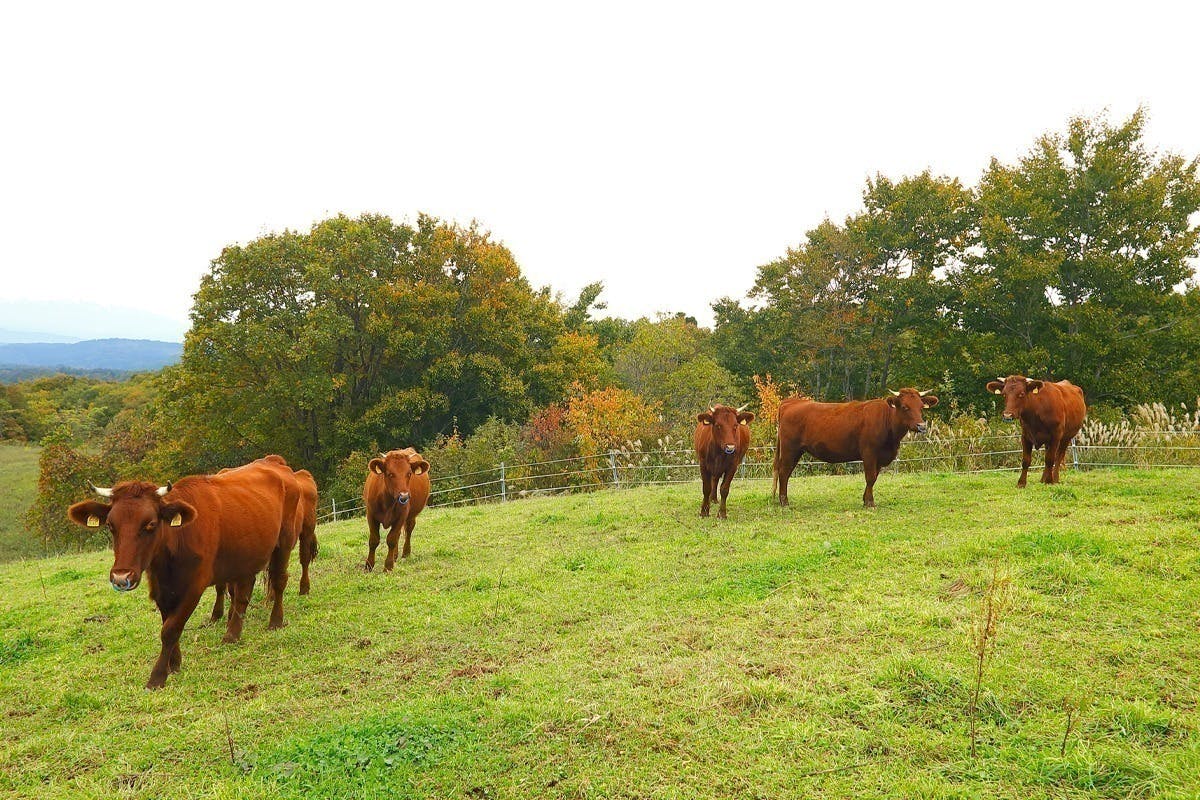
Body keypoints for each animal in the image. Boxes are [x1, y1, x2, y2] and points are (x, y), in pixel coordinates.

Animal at [66, 455, 300, 690]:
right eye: (111, 525)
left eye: (150, 524)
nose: (121, 578)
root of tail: (272, 461)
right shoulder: (161, 588)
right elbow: (167, 623)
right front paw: (174, 663)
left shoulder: (194, 587)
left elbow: (171, 628)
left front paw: (158, 676)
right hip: (247, 555)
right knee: (243, 593)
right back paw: (232, 634)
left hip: (284, 541)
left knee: (279, 581)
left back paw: (275, 621)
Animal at [772, 388, 940, 513]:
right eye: (905, 407)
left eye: (921, 407)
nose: (921, 426)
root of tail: (791, 402)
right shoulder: (869, 453)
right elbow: (870, 477)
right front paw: (870, 503)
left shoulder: (879, 457)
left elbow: (874, 478)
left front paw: (865, 500)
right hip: (789, 449)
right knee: (783, 472)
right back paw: (784, 502)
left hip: (795, 452)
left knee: (785, 473)